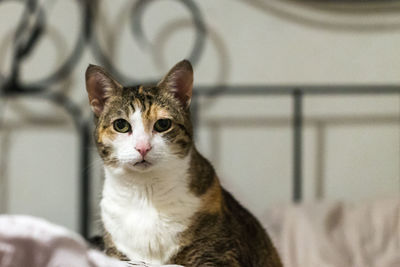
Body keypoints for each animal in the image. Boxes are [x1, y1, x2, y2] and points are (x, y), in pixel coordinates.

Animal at [86, 60, 282, 267]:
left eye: (163, 124)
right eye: (121, 125)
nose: (143, 147)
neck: (146, 192)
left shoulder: (220, 255)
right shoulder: (116, 252)